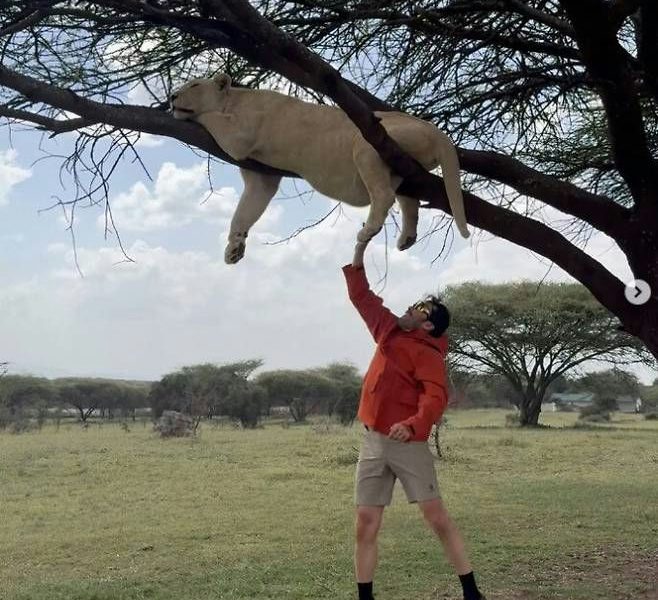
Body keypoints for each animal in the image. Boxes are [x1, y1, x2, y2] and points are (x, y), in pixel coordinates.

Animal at [171, 73, 469, 264]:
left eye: (194, 84)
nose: (172, 95)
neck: (233, 99)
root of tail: (436, 129)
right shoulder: (261, 178)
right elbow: (244, 212)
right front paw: (234, 248)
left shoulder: (242, 135)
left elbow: (210, 118)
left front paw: (188, 115)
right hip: (404, 170)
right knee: (410, 201)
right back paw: (406, 238)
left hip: (367, 146)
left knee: (383, 195)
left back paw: (368, 231)